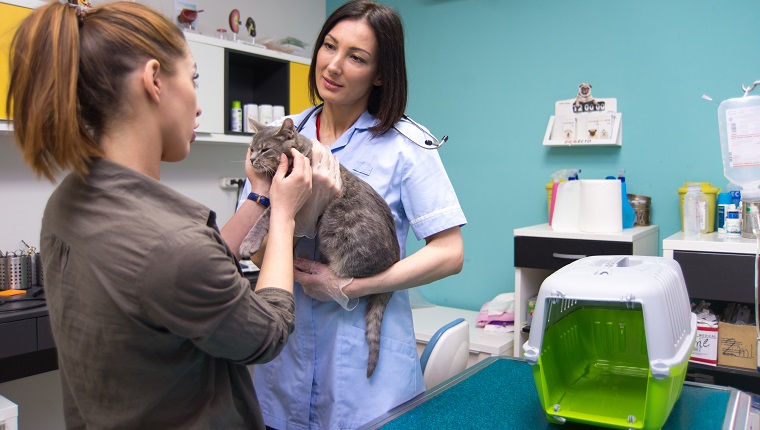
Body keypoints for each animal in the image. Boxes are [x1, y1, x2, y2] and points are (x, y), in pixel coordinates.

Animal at [242, 116, 400, 376]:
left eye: (265, 149)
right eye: (252, 148)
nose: (253, 159)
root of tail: (396, 260)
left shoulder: (291, 199)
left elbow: (265, 217)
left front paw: (248, 241)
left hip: (333, 232)